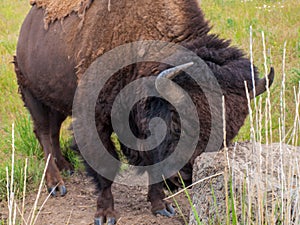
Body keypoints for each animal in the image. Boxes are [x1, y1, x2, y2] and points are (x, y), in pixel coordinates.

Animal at [14, 0, 274, 224]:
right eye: (178, 124)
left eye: (231, 131)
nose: (184, 178)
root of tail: (28, 24)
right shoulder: (94, 120)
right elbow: (105, 168)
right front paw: (105, 215)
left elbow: (152, 162)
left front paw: (162, 207)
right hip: (31, 93)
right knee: (44, 133)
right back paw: (56, 184)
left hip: (54, 99)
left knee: (53, 131)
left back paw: (66, 167)